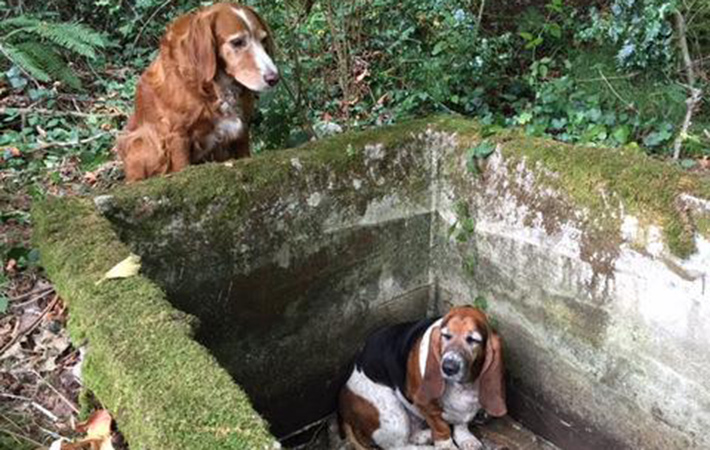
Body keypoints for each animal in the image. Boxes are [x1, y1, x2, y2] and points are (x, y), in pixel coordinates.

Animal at [118, 2, 280, 181]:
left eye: (263, 40)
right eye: (237, 42)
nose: (274, 78)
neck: (213, 87)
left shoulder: (241, 129)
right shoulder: (177, 136)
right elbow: (182, 167)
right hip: (141, 141)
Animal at [340, 306, 506, 450]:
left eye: (472, 340)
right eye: (446, 336)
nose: (448, 367)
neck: (462, 386)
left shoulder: (467, 408)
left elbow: (462, 424)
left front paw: (466, 439)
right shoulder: (427, 406)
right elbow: (441, 429)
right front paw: (447, 446)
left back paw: (425, 436)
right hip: (393, 415)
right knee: (399, 446)